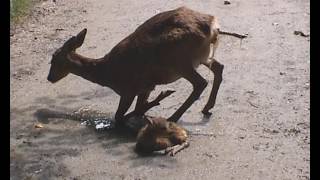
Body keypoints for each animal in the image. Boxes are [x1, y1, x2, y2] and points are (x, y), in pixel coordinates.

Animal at [47, 6, 230, 126]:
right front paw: (150, 107)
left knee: (201, 82)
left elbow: (119, 116)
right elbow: (137, 108)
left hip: (179, 59)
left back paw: (173, 117)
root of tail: (213, 25)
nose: (49, 78)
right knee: (218, 67)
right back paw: (206, 107)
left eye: (54, 59)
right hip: (200, 56)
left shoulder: (129, 88)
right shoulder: (146, 86)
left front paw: (160, 99)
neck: (107, 74)